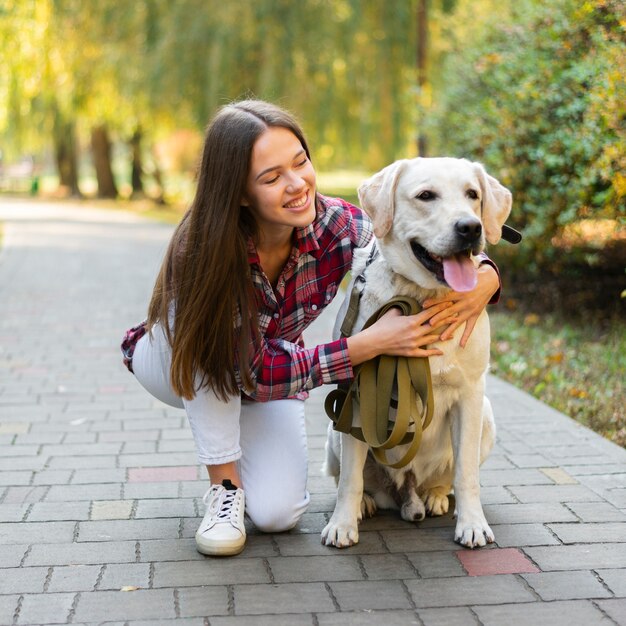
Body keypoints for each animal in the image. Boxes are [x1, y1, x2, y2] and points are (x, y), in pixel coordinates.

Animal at [320, 156, 510, 544]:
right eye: (426, 196)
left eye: (473, 194)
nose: (471, 227)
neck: (422, 298)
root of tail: (407, 493)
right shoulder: (359, 392)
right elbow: (349, 478)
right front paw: (342, 524)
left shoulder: (470, 394)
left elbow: (467, 475)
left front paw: (472, 524)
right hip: (335, 428)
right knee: (352, 474)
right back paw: (365, 504)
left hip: (486, 417)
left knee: (446, 479)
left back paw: (436, 498)